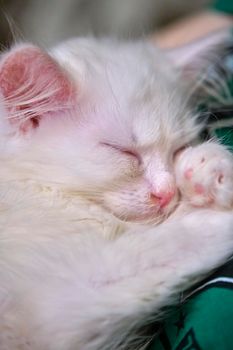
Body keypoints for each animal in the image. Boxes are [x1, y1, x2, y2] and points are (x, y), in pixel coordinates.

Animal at [0, 33, 232, 350]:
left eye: (178, 148)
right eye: (124, 152)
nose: (166, 193)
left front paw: (205, 166)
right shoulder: (63, 301)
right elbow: (179, 238)